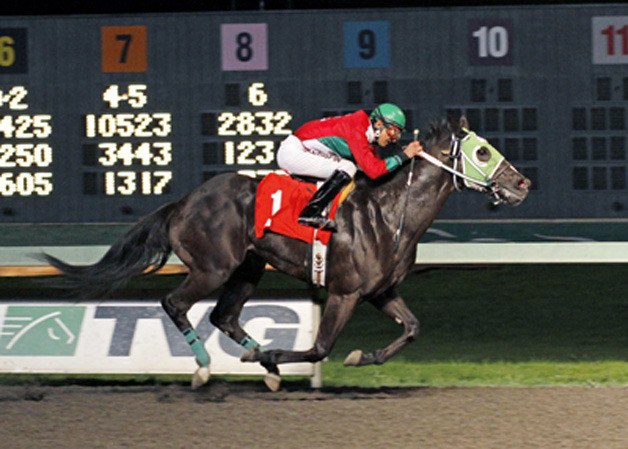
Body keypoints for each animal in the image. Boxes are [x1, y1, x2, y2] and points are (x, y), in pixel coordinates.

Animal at [44, 115, 528, 388]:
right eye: (482, 151)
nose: (522, 183)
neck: (392, 215)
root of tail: (183, 202)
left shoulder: (380, 291)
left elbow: (411, 328)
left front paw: (361, 357)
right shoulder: (345, 292)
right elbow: (319, 348)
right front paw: (280, 356)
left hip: (248, 267)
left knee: (224, 315)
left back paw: (261, 364)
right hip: (213, 268)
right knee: (175, 304)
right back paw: (205, 366)